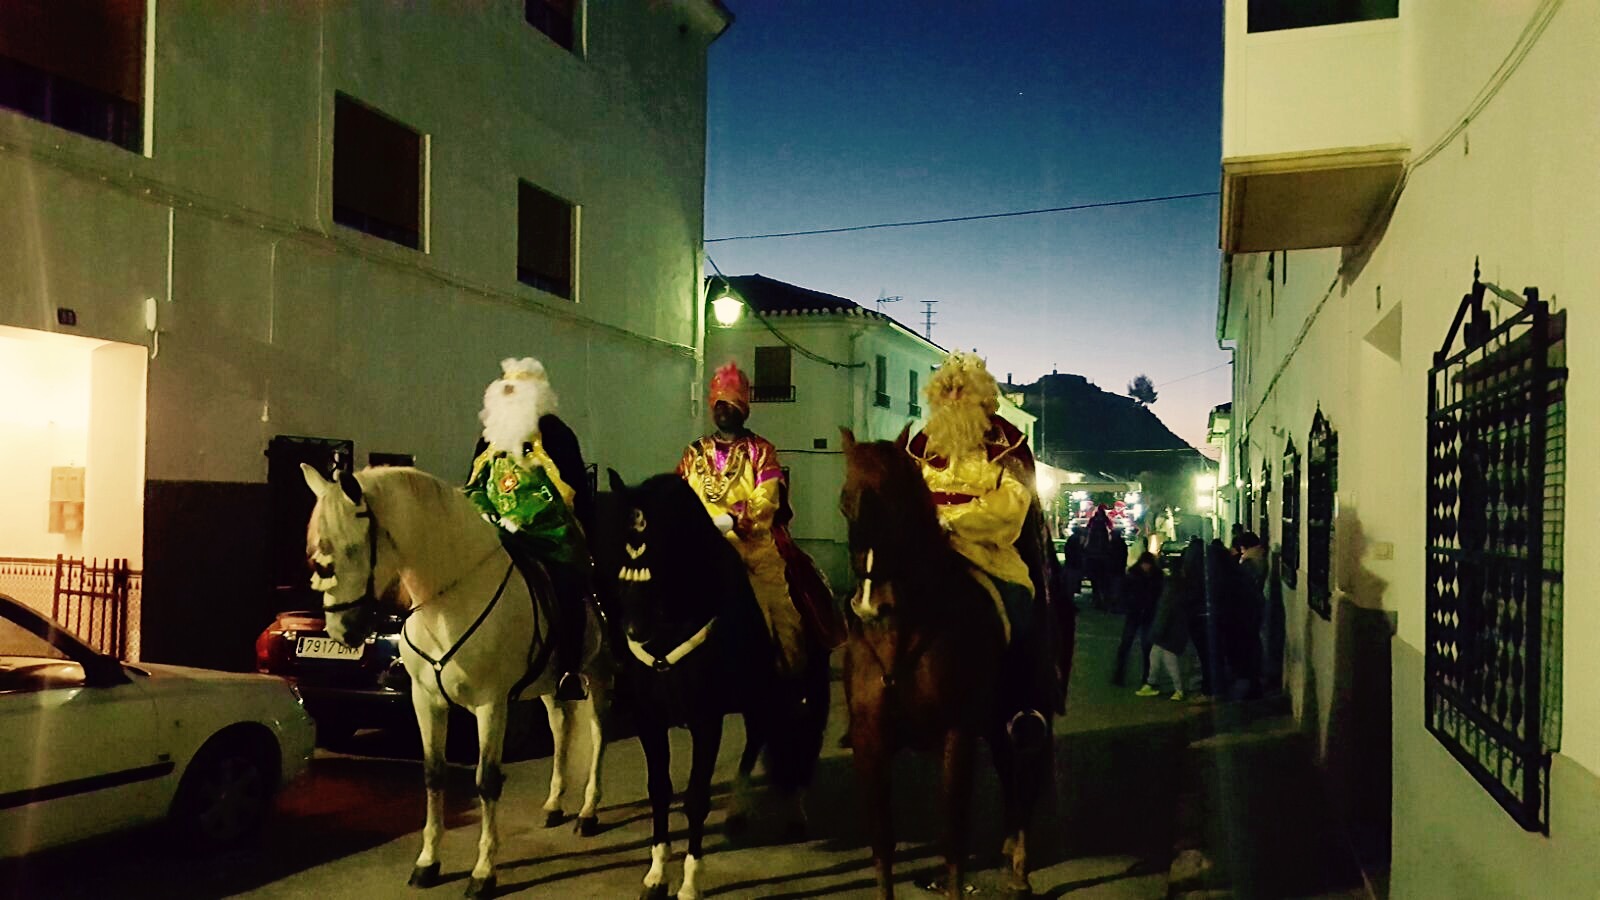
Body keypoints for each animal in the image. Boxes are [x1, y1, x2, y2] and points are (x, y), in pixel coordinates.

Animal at [300, 464, 611, 890]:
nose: (341, 631)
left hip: (597, 674)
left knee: (597, 734)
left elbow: (486, 780)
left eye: (350, 549)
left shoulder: (491, 704)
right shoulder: (426, 701)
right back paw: (554, 805)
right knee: (561, 727)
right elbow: (434, 775)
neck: (448, 603)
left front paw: (483, 871)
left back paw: (588, 812)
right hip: (550, 684)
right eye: (317, 554)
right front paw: (428, 862)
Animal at [598, 470, 825, 896]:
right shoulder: (648, 719)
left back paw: (797, 811)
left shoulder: (707, 720)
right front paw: (656, 873)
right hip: (757, 696)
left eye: (661, 554)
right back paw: (738, 809)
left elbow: (696, 798)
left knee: (799, 739)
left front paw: (690, 882)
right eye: (622, 552)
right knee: (759, 737)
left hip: (802, 688)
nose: (633, 630)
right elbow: (659, 790)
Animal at [838, 425, 1049, 896]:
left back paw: (1020, 867)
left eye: (900, 501)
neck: (903, 634)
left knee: (1022, 774)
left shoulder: (958, 735)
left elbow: (953, 838)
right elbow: (883, 843)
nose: (870, 605)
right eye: (844, 502)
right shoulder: (869, 741)